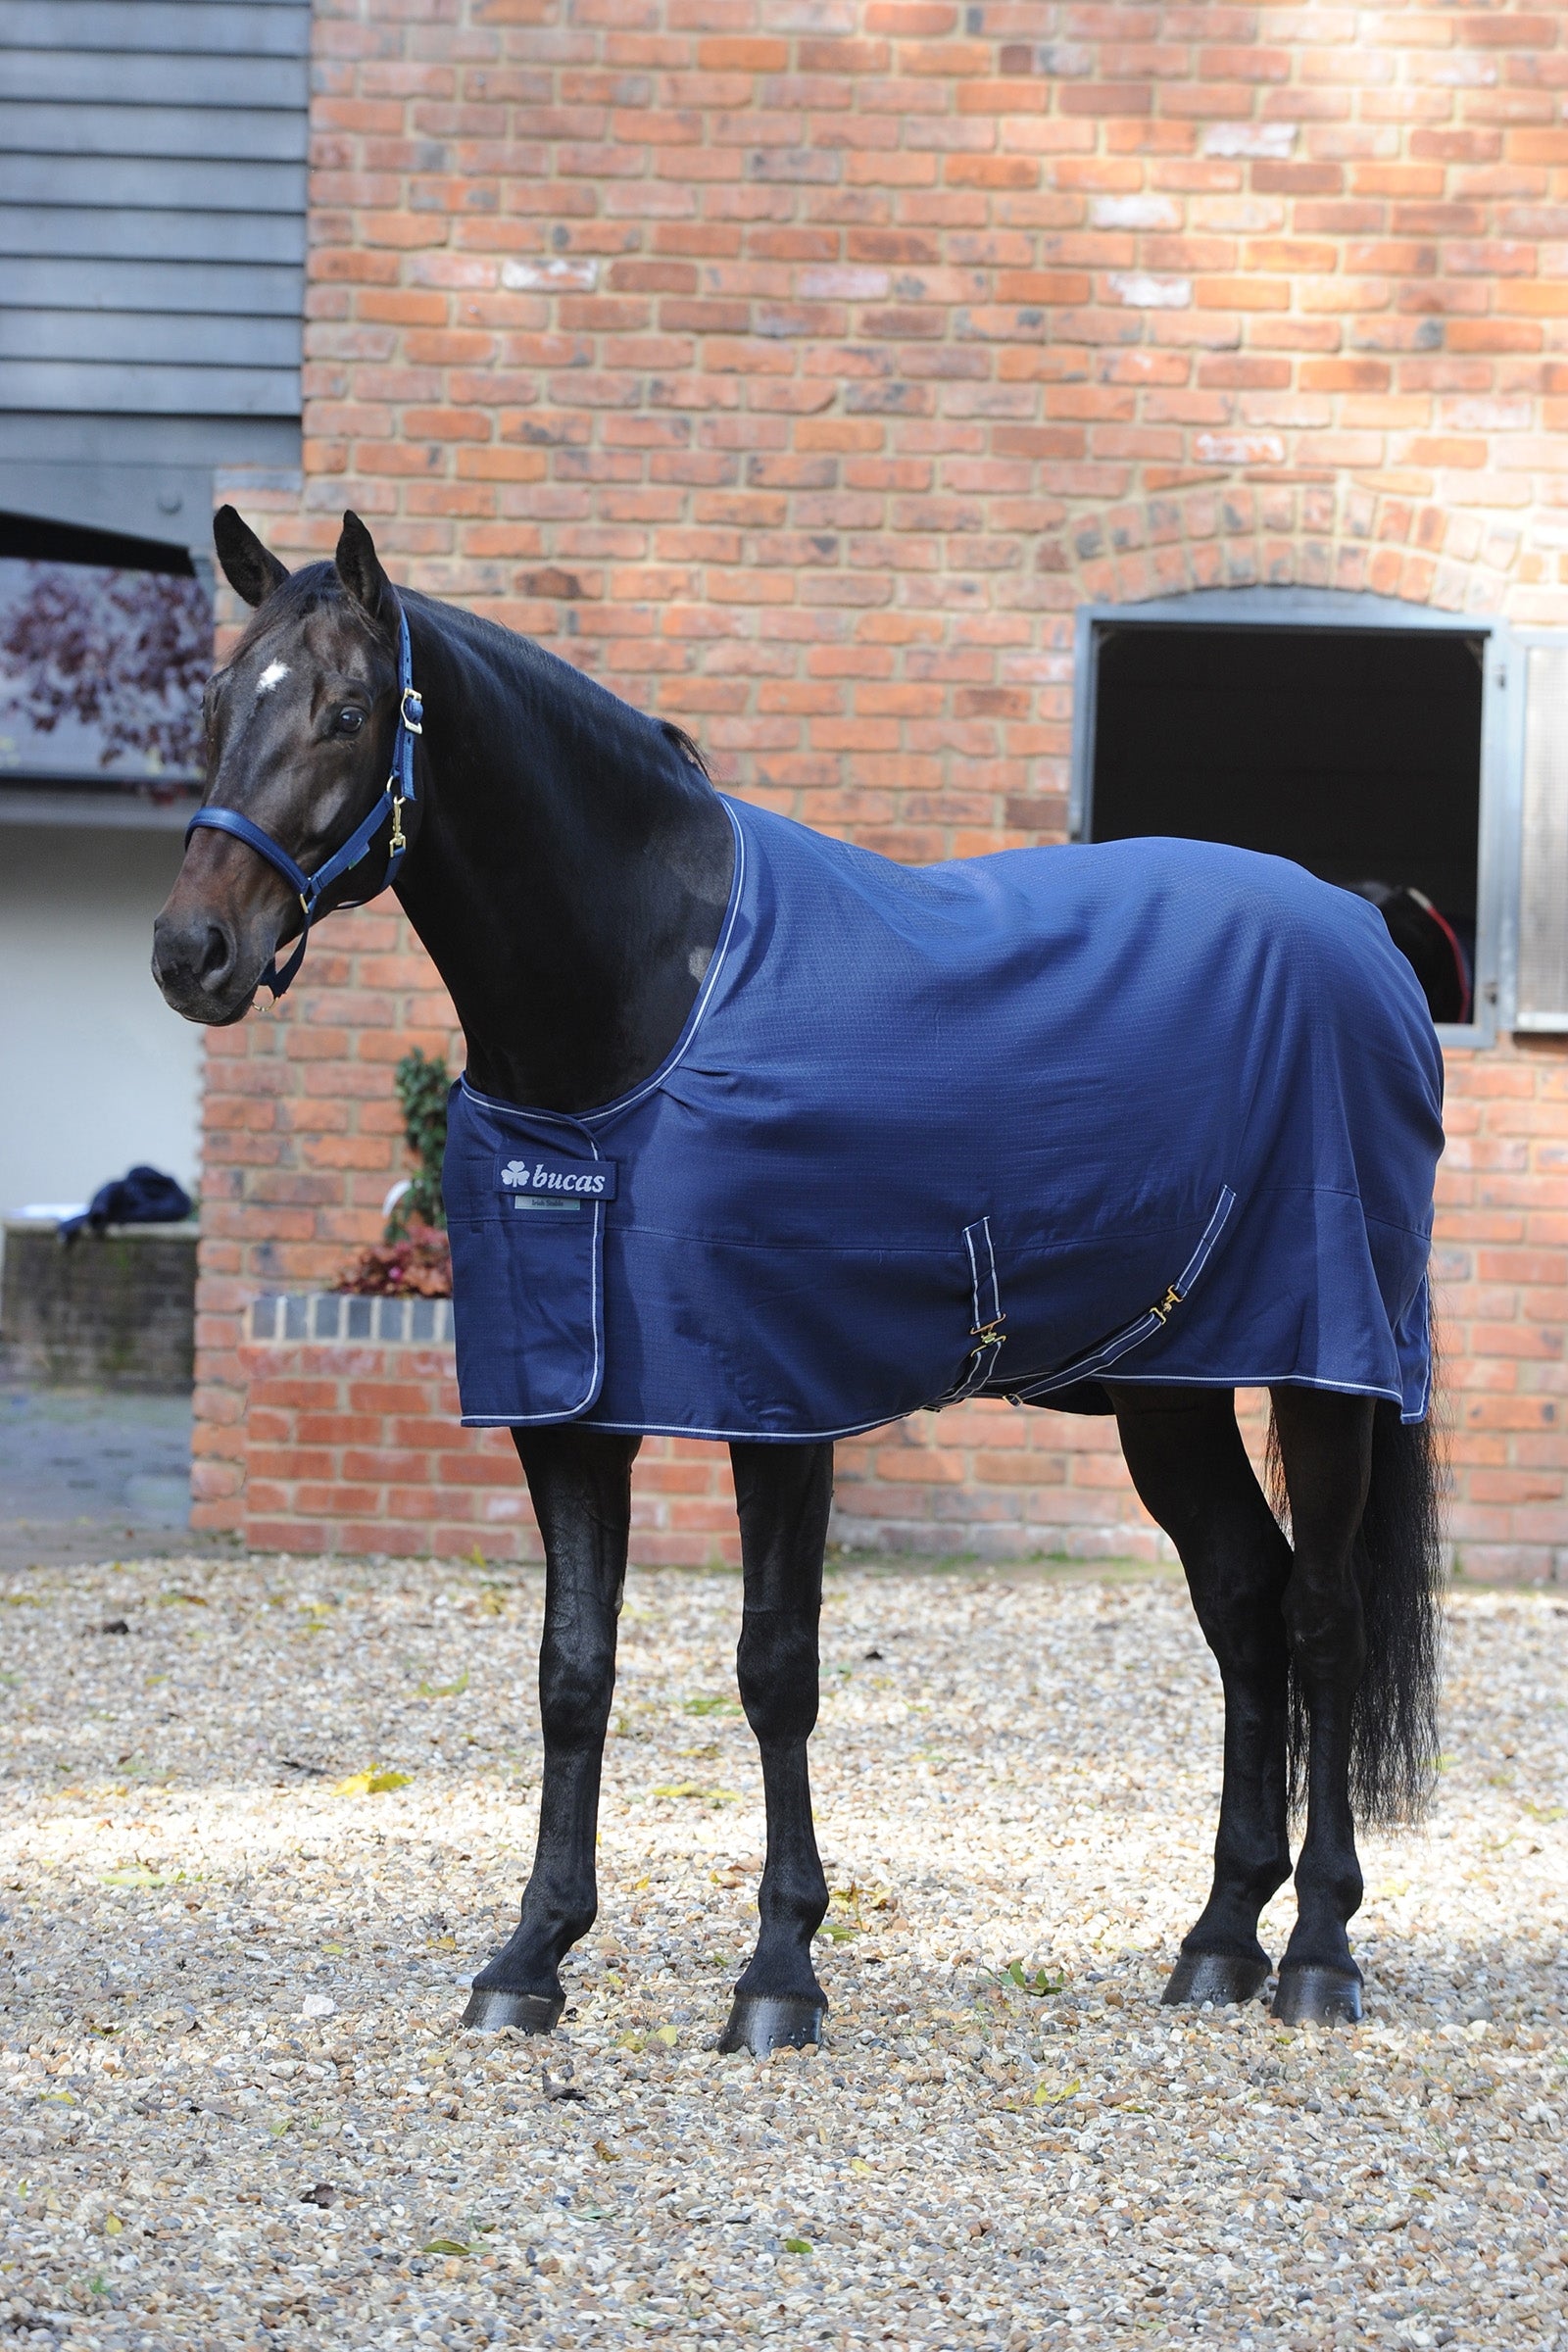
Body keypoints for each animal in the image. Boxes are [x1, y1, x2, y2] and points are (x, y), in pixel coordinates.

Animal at [152, 509, 1445, 2058]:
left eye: (348, 712)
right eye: (217, 707)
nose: (193, 953)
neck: (648, 998)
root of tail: (1363, 926)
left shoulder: (780, 1406)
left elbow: (775, 1672)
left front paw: (777, 1972)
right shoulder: (566, 1410)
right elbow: (571, 1670)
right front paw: (531, 1956)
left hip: (1328, 1372)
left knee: (1320, 1621)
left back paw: (1316, 1953)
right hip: (1167, 1391)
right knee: (1244, 1604)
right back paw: (1216, 1941)